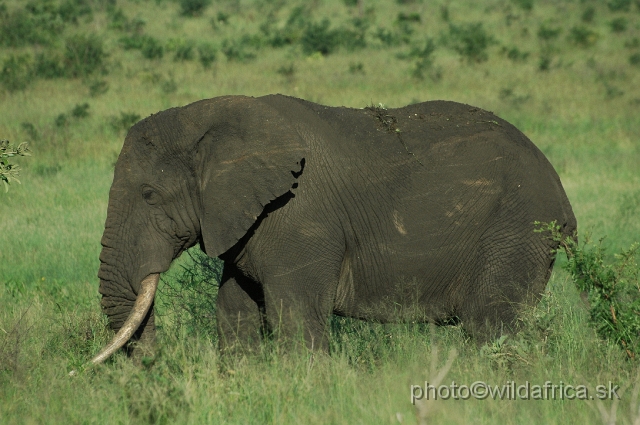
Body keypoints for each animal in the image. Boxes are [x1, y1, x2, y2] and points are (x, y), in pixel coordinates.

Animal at [90, 93, 576, 364]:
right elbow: (234, 312)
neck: (212, 118)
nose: (150, 366)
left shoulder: (300, 218)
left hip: (517, 230)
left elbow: (294, 317)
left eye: (149, 194)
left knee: (491, 325)